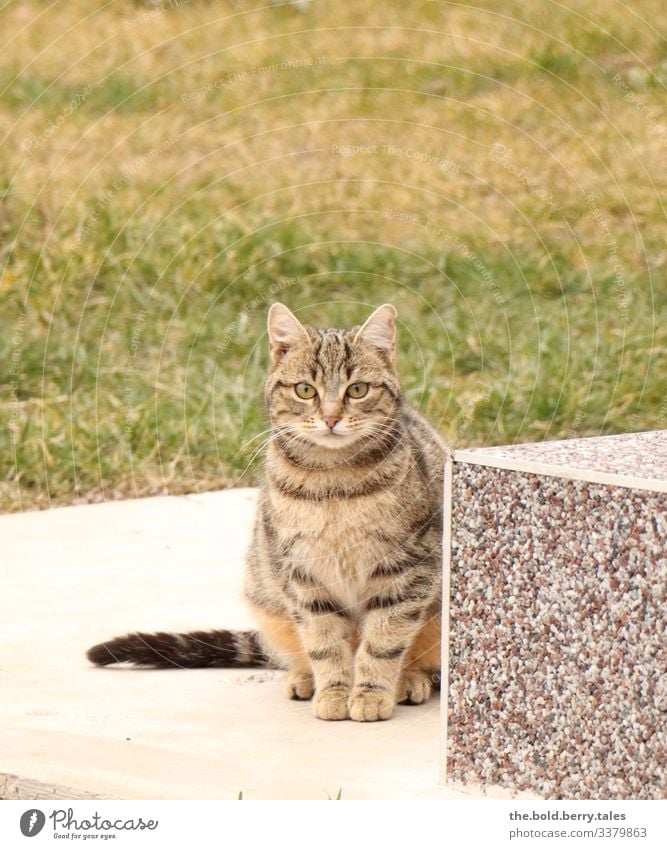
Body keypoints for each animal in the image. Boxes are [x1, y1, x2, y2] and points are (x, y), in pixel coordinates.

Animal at [87, 302, 448, 720]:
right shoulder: (302, 573)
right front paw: (335, 692)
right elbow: (324, 642)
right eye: (305, 390)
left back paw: (408, 681)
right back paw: (304, 678)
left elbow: (383, 641)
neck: (334, 482)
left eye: (357, 389)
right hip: (266, 598)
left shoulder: (407, 568)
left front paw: (371, 693)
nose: (330, 418)